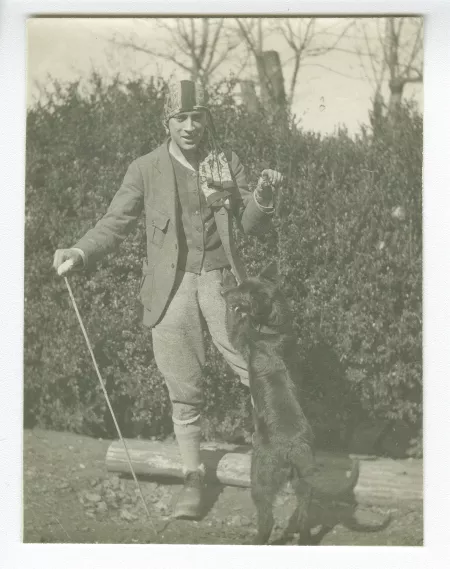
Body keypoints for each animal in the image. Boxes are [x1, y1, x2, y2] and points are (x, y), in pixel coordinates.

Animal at [221, 264, 358, 544]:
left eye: (244, 291)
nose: (226, 293)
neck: (275, 328)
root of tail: (294, 448)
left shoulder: (238, 337)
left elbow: (233, 320)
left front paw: (227, 283)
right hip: (303, 485)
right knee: (304, 515)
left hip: (260, 479)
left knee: (267, 519)